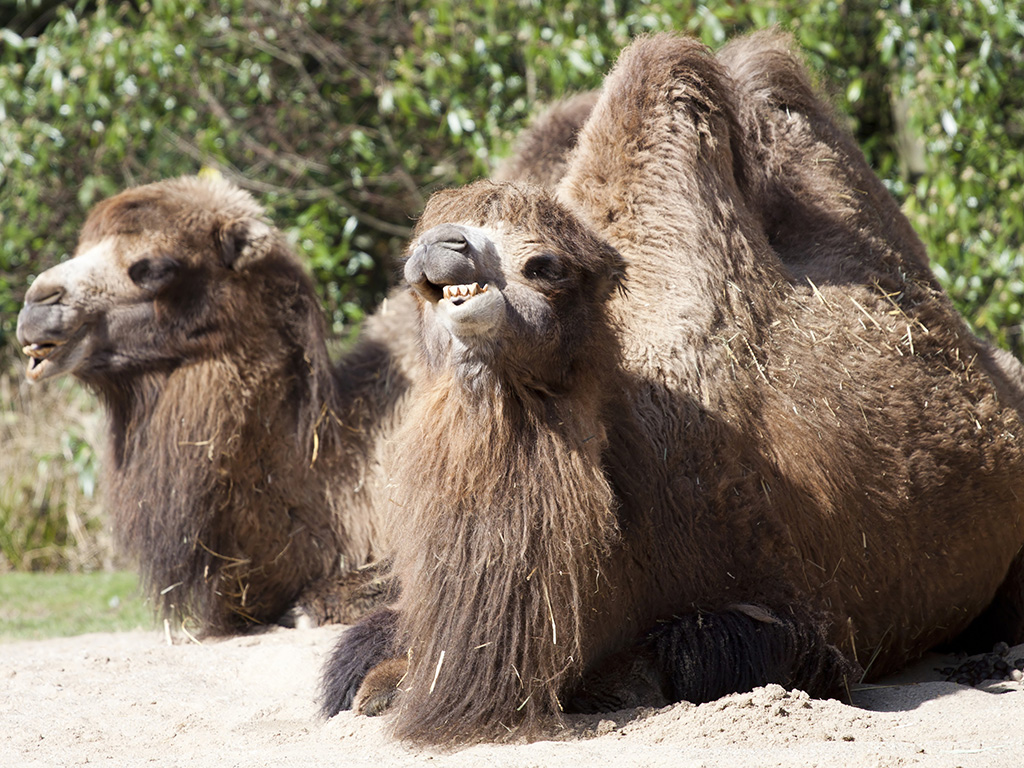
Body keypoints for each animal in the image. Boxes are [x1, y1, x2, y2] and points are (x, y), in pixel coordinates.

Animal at [319, 31, 1024, 745]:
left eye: (544, 265)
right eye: (420, 245)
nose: (443, 246)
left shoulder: (803, 614)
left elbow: (688, 656)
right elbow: (361, 658)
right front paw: (378, 682)